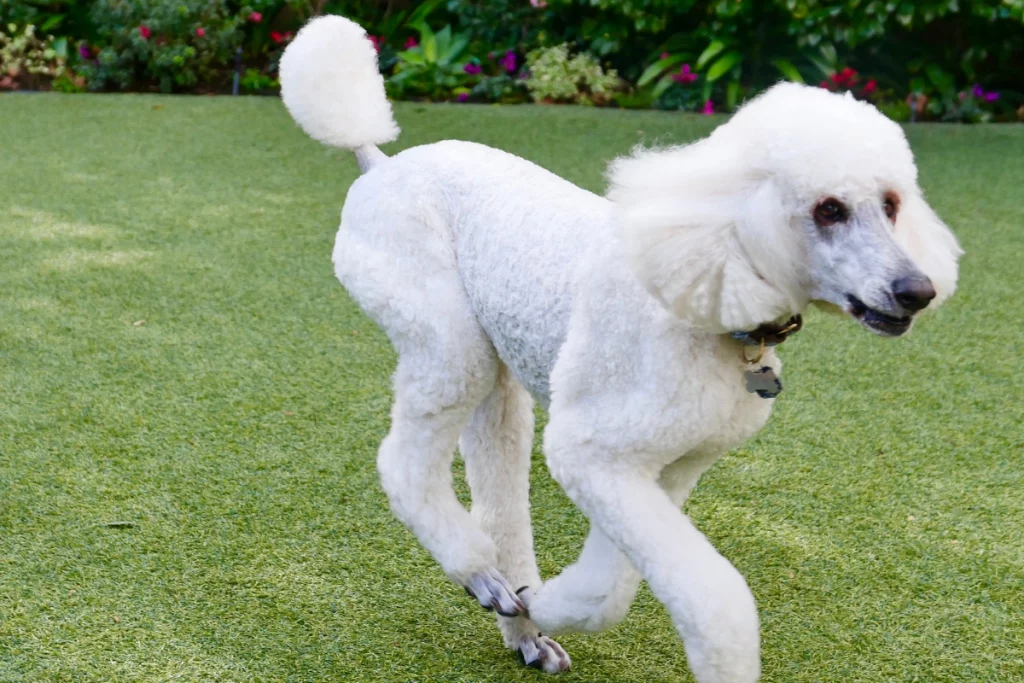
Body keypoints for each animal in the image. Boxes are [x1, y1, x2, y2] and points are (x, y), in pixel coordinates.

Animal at [278, 17, 958, 683]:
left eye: (892, 204)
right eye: (828, 208)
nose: (917, 290)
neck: (714, 295)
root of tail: (380, 163)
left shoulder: (662, 467)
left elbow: (611, 587)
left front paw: (542, 602)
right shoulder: (593, 451)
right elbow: (710, 600)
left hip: (496, 368)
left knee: (497, 475)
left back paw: (521, 623)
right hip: (443, 331)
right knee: (404, 460)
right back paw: (478, 573)